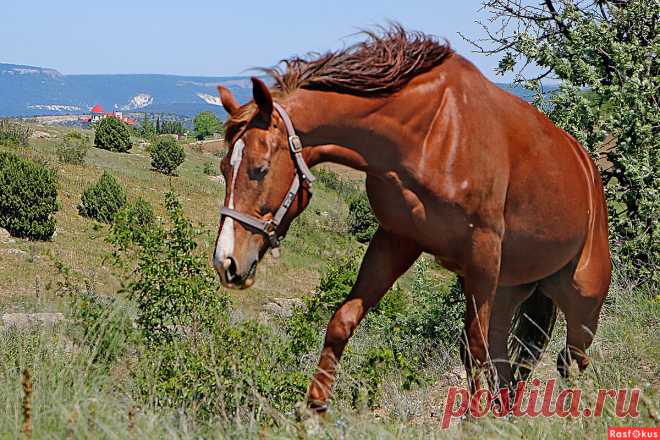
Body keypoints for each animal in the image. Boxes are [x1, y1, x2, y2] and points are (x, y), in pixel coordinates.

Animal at [214, 26, 612, 412]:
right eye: (223, 168)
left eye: (259, 169)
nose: (226, 262)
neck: (433, 131)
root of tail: (587, 170)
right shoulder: (397, 239)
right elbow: (343, 321)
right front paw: (313, 411)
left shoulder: (481, 253)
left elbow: (474, 348)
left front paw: (474, 419)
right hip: (509, 292)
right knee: (514, 365)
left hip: (582, 302)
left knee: (570, 360)